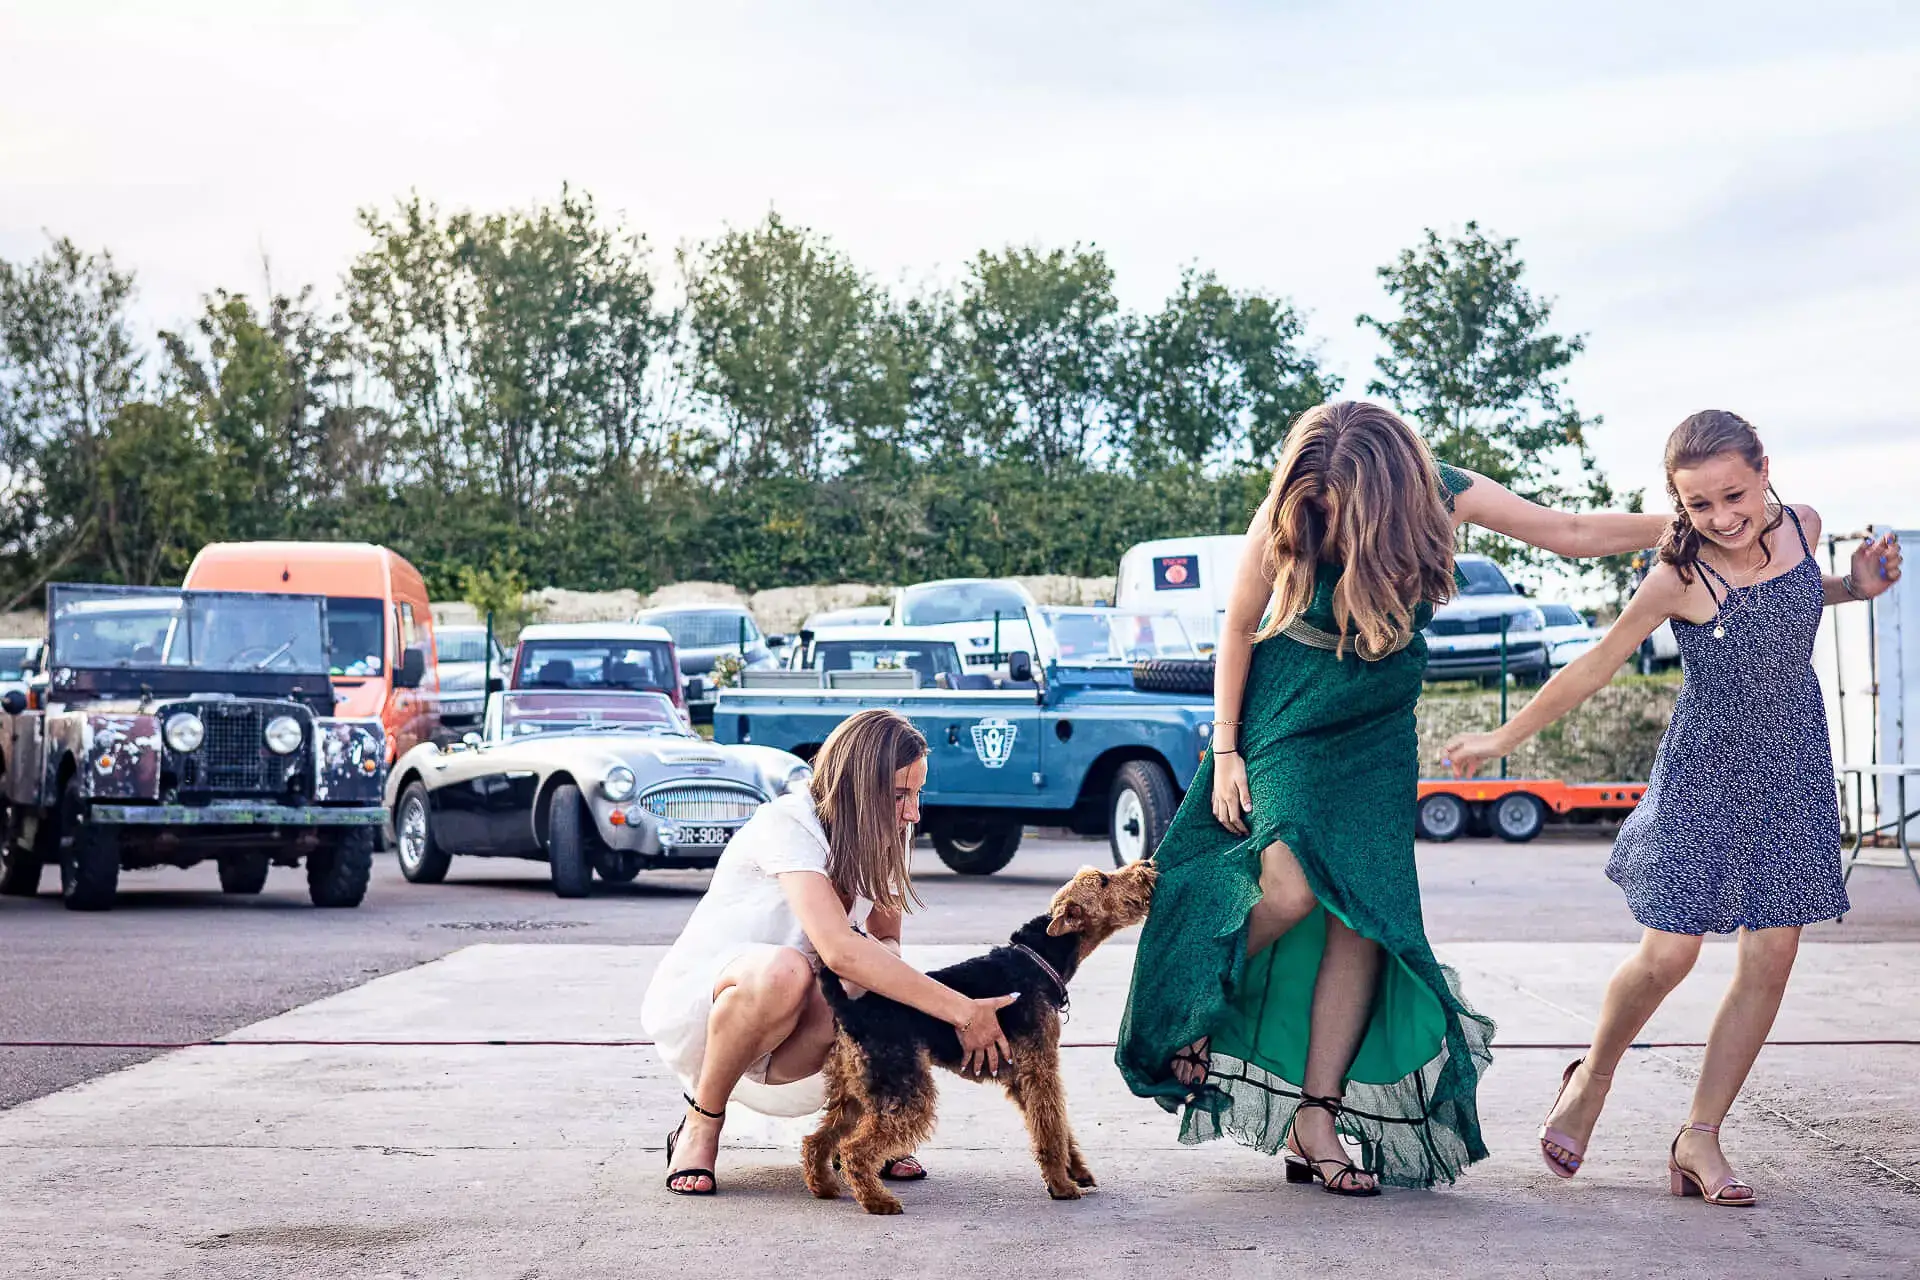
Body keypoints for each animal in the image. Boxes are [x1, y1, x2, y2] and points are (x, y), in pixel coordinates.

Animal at [798, 859, 1152, 1212]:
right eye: (1103, 881)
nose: (1146, 865)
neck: (1040, 959)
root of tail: (850, 1009)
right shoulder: (1040, 1070)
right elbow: (1051, 1129)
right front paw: (1062, 1185)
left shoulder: (1022, 1077)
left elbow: (1059, 1128)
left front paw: (1076, 1170)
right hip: (904, 1091)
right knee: (854, 1150)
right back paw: (879, 1201)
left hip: (855, 1091)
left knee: (817, 1140)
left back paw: (824, 1186)